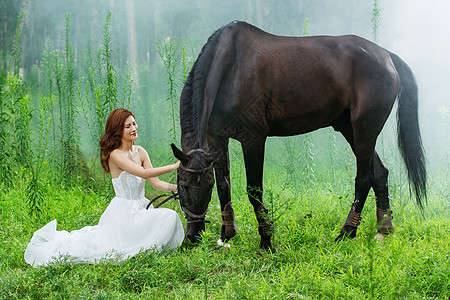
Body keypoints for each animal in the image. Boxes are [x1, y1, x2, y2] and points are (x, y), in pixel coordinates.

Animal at [171, 21, 428, 250]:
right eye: (182, 186)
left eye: (203, 187)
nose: (193, 236)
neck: (230, 68)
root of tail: (386, 56)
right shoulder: (217, 140)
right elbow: (225, 188)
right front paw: (226, 235)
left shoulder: (253, 139)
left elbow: (254, 191)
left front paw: (266, 240)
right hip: (350, 130)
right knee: (380, 173)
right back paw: (383, 230)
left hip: (365, 129)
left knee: (364, 178)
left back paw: (347, 232)